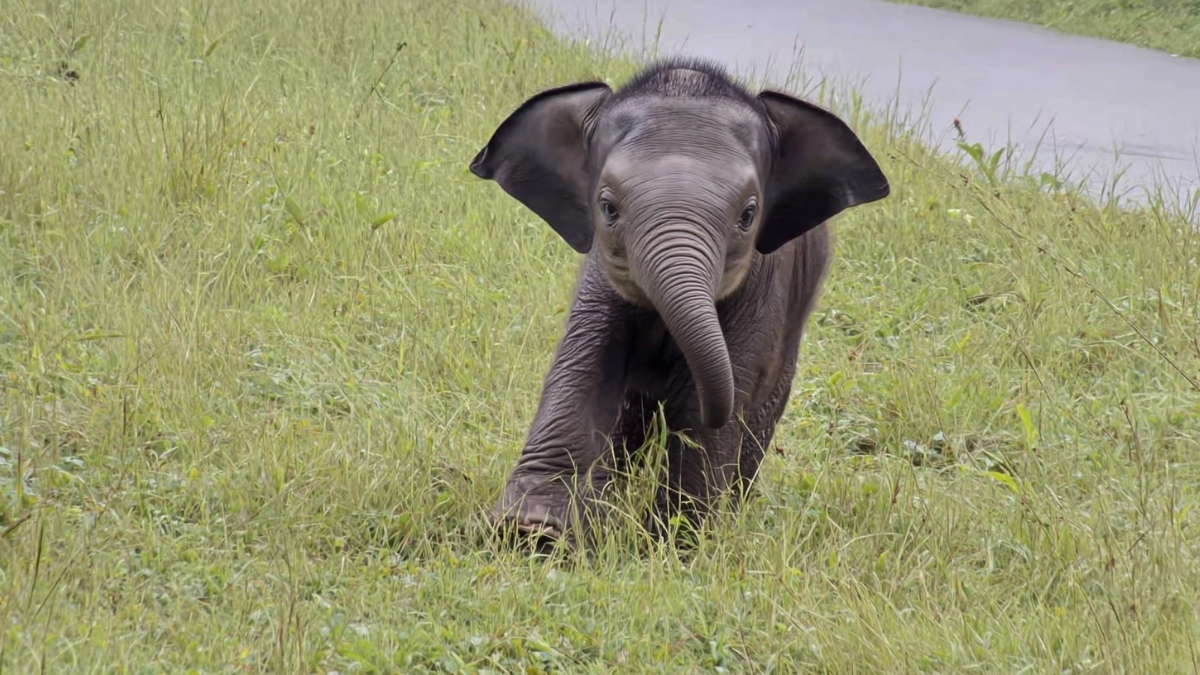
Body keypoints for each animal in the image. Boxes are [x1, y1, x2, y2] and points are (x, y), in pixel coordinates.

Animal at [469, 56, 890, 546]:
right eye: (608, 208)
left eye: (748, 215)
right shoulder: (599, 276)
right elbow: (584, 369)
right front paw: (531, 535)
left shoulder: (762, 288)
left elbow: (716, 397)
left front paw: (676, 546)